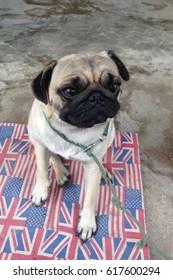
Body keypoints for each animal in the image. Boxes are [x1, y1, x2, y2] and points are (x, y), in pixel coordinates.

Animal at [27, 50, 129, 241]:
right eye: (70, 91)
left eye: (114, 86)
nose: (96, 97)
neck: (73, 130)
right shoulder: (40, 146)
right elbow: (41, 170)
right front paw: (40, 191)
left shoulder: (92, 166)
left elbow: (90, 196)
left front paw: (87, 223)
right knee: (53, 157)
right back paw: (61, 173)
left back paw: (104, 172)